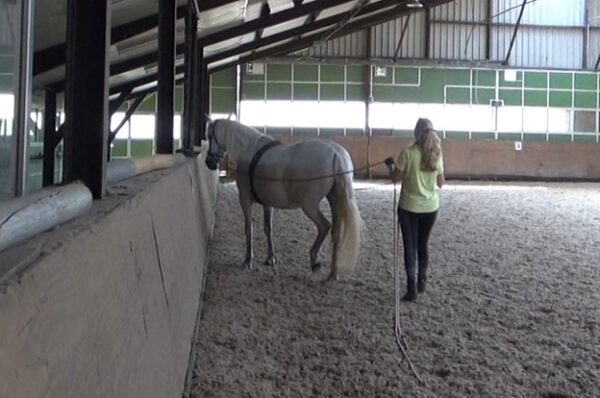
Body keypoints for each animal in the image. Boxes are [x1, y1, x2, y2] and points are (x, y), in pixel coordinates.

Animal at [204, 119, 364, 280]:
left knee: (324, 226)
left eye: (210, 136)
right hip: (334, 200)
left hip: (309, 205)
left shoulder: (244, 199)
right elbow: (268, 229)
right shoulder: (267, 203)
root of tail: (335, 154)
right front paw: (270, 258)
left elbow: (248, 228)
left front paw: (248, 260)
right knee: (336, 232)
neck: (250, 150)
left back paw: (315, 261)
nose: (209, 162)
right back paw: (332, 274)